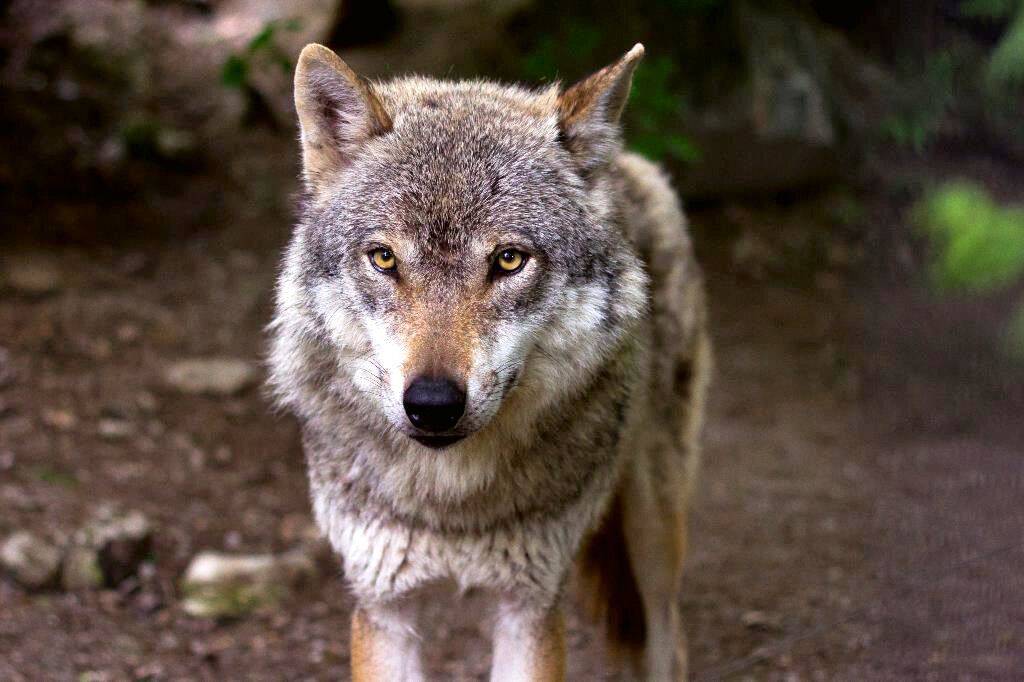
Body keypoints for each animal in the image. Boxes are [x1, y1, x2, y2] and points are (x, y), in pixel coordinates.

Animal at [268, 41, 711, 681]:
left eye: (508, 260)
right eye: (383, 258)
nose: (432, 404)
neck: (452, 504)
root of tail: (626, 163)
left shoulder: (529, 607)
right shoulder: (383, 606)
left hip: (654, 531)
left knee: (669, 640)